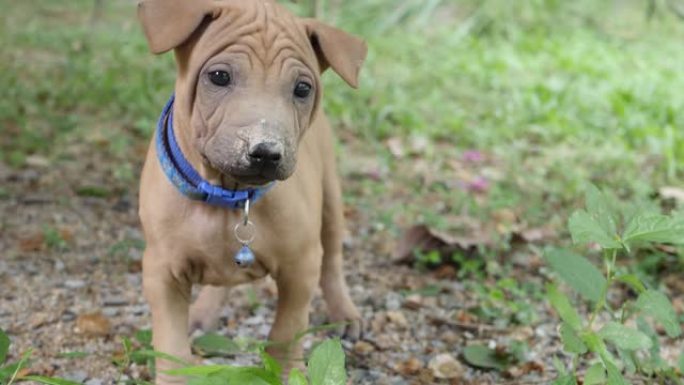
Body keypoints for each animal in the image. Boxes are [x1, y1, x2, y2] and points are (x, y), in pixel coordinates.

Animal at [136, 0, 366, 380]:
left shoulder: (300, 266)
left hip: (331, 202)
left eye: (303, 89)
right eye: (218, 77)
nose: (266, 152)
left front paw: (285, 374)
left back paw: (344, 313)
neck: (228, 196)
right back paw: (203, 312)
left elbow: (286, 333)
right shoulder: (161, 270)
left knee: (332, 260)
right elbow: (171, 346)